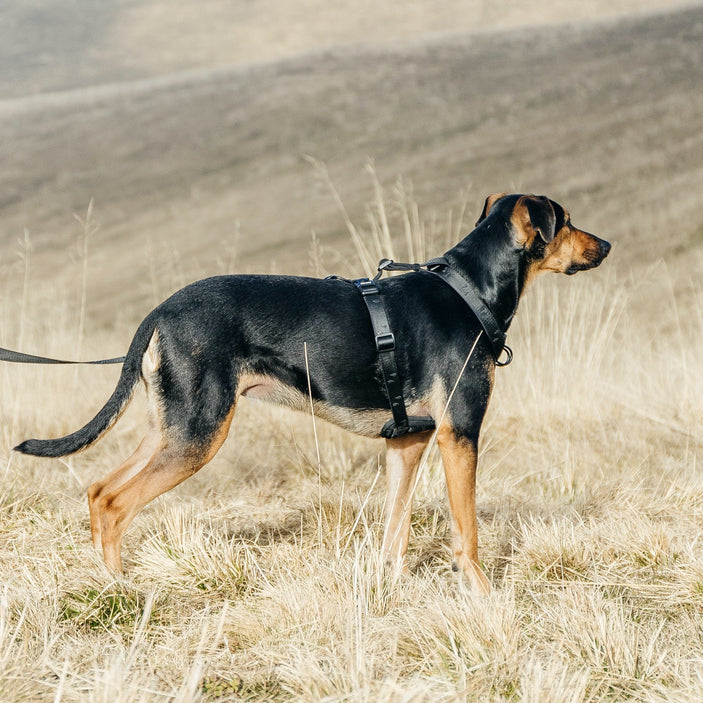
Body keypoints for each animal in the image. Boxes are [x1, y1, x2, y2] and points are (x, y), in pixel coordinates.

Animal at [13, 191, 608, 588]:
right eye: (567, 221)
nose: (605, 244)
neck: (469, 292)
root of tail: (159, 311)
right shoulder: (459, 434)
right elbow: (467, 533)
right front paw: (484, 597)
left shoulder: (408, 442)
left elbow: (395, 531)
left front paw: (388, 591)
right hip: (199, 434)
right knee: (116, 502)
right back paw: (123, 590)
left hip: (176, 426)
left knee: (98, 491)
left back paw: (103, 582)